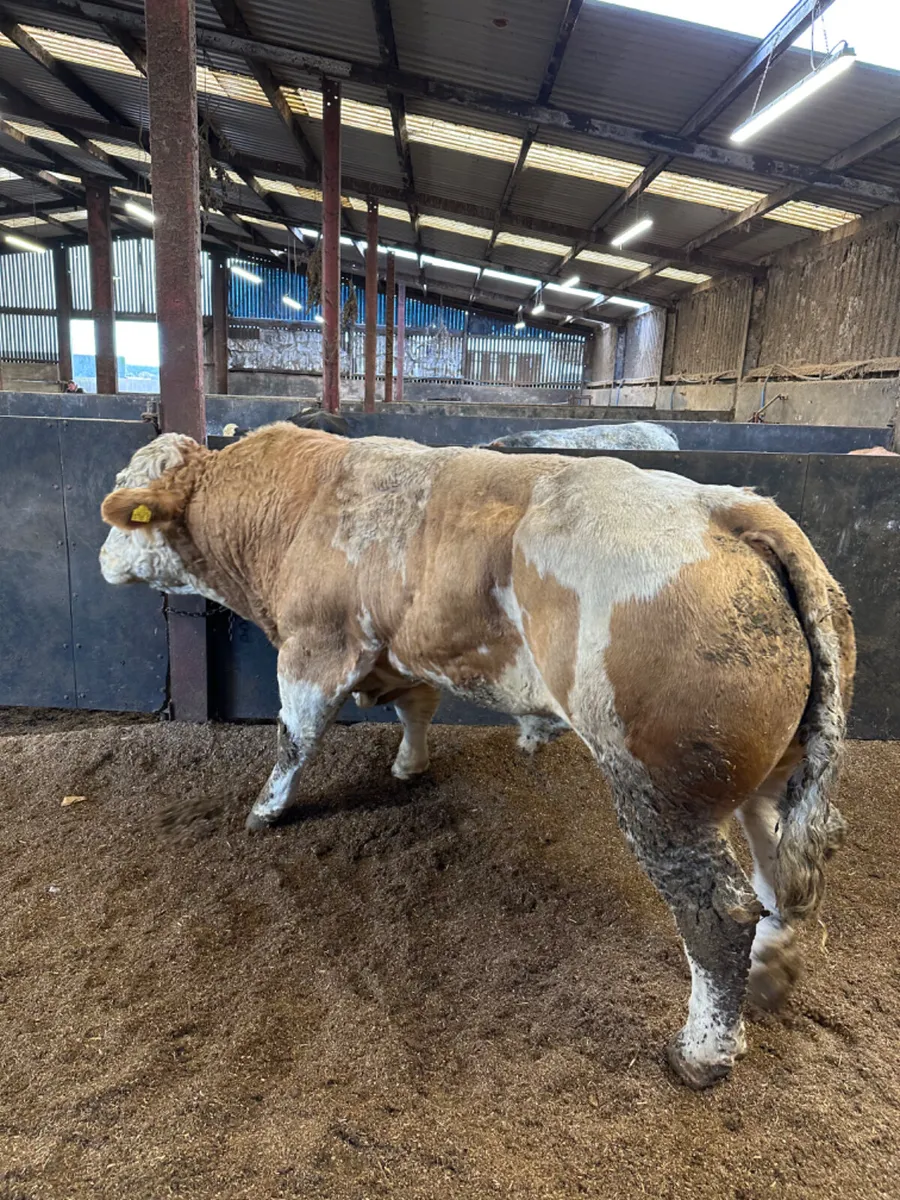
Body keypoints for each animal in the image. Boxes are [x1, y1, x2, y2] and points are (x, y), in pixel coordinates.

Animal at [99, 424, 855, 1090]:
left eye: (124, 505)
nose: (104, 559)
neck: (300, 502)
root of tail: (729, 508)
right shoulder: (404, 647)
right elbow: (416, 703)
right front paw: (409, 766)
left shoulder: (317, 645)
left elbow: (295, 735)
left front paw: (265, 809)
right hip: (775, 774)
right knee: (779, 871)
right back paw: (771, 975)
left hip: (663, 795)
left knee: (718, 915)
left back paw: (701, 1053)